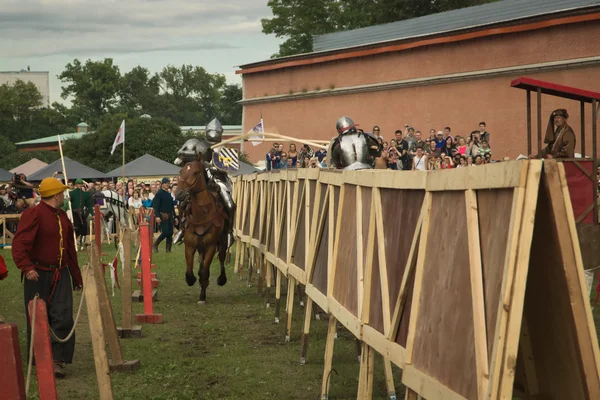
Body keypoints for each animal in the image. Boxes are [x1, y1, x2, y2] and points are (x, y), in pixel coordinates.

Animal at [176, 160, 230, 304]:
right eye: (181, 171)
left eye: (195, 172)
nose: (178, 194)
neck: (201, 214)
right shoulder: (190, 246)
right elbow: (190, 273)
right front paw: (193, 281)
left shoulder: (211, 246)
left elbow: (205, 272)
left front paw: (202, 296)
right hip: (201, 247)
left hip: (221, 242)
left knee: (221, 257)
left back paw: (221, 279)